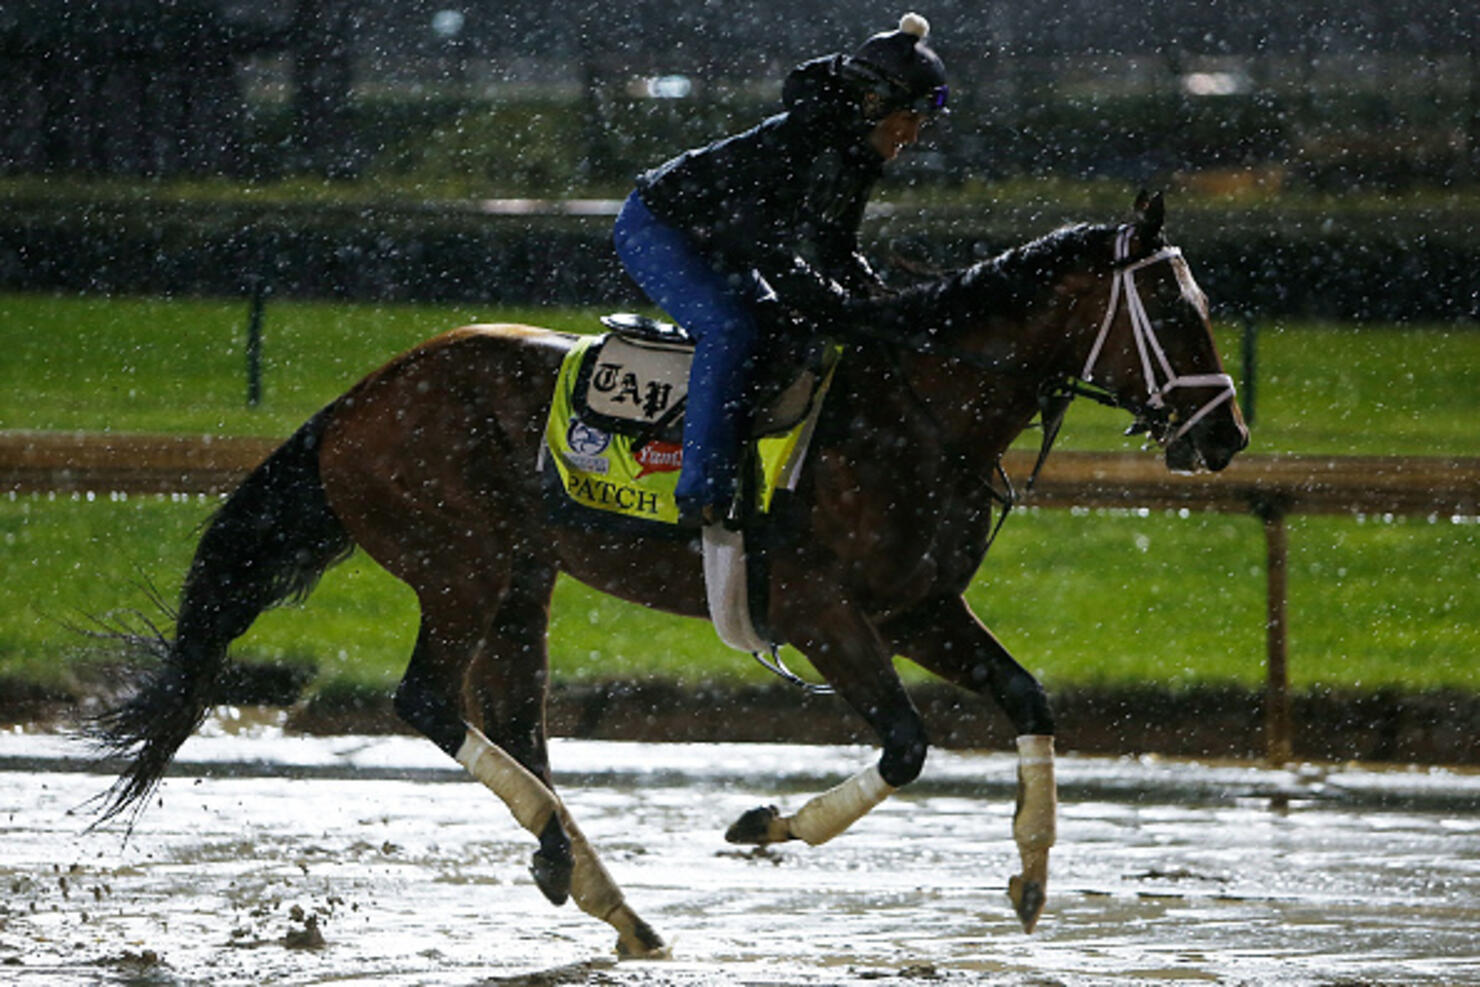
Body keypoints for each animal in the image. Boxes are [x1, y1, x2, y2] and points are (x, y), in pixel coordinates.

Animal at [89, 192, 1249, 958]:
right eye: (1172, 309)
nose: (1226, 434)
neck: (915, 410)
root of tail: (358, 397)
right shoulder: (825, 609)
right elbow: (908, 745)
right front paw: (764, 825)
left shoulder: (918, 604)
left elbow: (1026, 695)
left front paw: (1031, 872)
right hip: (460, 564)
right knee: (429, 699)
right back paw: (590, 877)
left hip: (523, 574)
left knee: (514, 716)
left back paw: (588, 882)